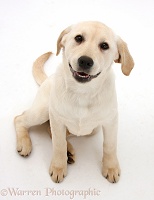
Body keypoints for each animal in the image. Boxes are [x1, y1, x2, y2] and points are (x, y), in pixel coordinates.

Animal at [14, 21, 134, 183]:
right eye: (78, 38)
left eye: (104, 46)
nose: (85, 61)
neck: (82, 92)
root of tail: (47, 78)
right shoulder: (57, 119)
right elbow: (58, 145)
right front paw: (59, 166)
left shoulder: (111, 121)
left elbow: (109, 145)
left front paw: (111, 167)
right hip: (43, 111)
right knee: (19, 119)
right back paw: (25, 143)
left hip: (92, 129)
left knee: (49, 129)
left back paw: (68, 151)